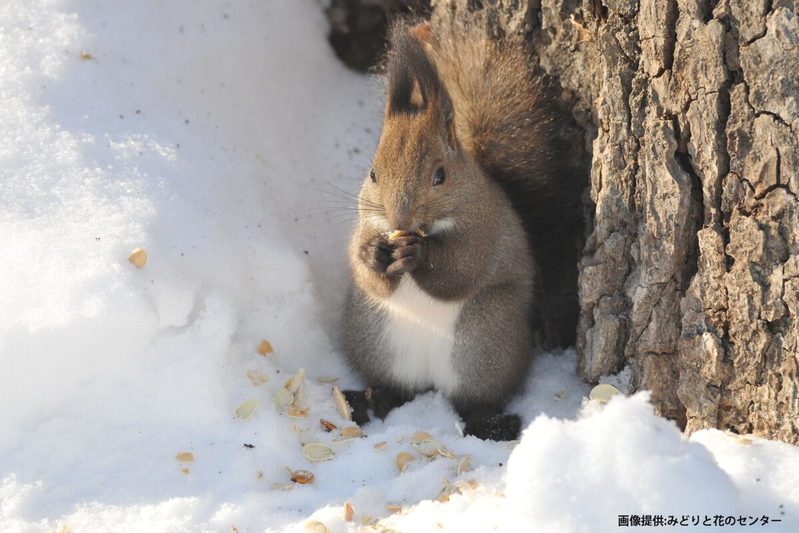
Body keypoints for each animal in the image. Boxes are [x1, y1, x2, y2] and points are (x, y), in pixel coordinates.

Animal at [340, 11, 584, 440]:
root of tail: (429, 378)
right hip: (376, 341)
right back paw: (367, 399)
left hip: (484, 345)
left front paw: (417, 254)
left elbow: (460, 271)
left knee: (471, 401)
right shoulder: (366, 221)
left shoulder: (485, 230)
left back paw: (491, 422)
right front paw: (372, 253)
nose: (400, 220)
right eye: (372, 174)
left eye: (440, 175)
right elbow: (365, 270)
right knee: (396, 389)